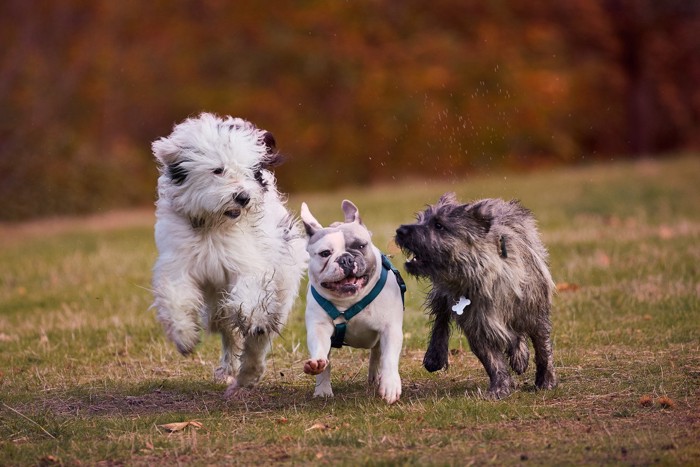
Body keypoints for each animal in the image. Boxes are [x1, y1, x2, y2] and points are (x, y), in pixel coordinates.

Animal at [152, 113, 308, 398]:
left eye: (249, 171)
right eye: (218, 170)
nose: (243, 197)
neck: (213, 227)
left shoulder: (248, 263)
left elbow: (247, 297)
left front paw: (249, 316)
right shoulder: (177, 263)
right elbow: (176, 297)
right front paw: (184, 336)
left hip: (281, 288)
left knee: (259, 337)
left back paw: (249, 372)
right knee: (226, 330)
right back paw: (230, 368)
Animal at [396, 193, 556, 398]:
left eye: (439, 225)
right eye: (420, 220)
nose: (400, 231)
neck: (485, 277)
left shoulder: (535, 314)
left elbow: (543, 348)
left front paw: (546, 381)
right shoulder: (477, 326)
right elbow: (492, 360)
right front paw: (499, 387)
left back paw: (520, 355)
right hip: (442, 295)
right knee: (441, 319)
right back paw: (435, 355)